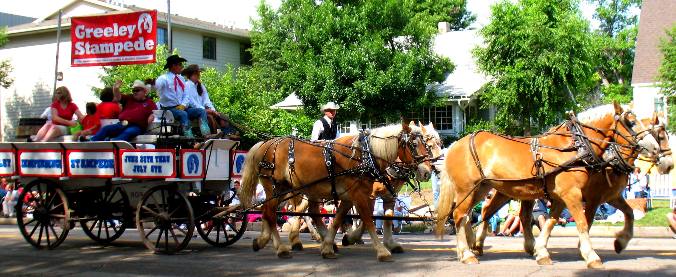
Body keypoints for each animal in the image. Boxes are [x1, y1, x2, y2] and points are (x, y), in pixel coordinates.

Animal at [240, 122, 434, 260]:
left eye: (427, 144)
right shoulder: (362, 195)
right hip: (277, 188)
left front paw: (328, 246)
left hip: (290, 190)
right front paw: (381, 250)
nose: (427, 172)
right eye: (414, 144)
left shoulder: (350, 196)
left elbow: (340, 219)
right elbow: (368, 220)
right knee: (273, 212)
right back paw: (281, 247)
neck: (365, 155)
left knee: (277, 211)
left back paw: (265, 240)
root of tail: (266, 143)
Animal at [434, 102, 660, 266]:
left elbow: (550, 223)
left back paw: (471, 246)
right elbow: (582, 223)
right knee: (460, 216)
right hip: (467, 188)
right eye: (631, 123)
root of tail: (455, 145)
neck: (576, 147)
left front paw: (541, 251)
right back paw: (467, 253)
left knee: (477, 213)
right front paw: (591, 255)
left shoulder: (562, 196)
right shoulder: (574, 194)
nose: (656, 149)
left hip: (483, 188)